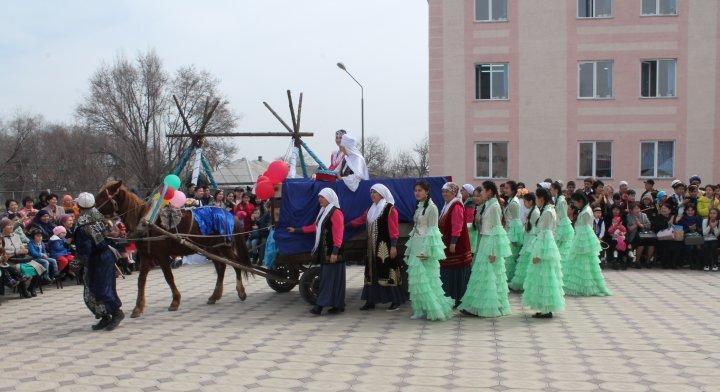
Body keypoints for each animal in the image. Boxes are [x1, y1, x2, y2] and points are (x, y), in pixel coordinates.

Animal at [95, 181, 253, 318]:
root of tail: (229, 215)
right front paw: (138, 308)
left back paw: (241, 291)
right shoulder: (146, 256)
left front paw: (175, 301)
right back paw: (215, 295)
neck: (146, 221)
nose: (92, 209)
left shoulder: (161, 255)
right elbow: (141, 280)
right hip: (212, 248)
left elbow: (168, 277)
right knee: (221, 268)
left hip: (223, 247)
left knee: (236, 265)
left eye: (103, 195)